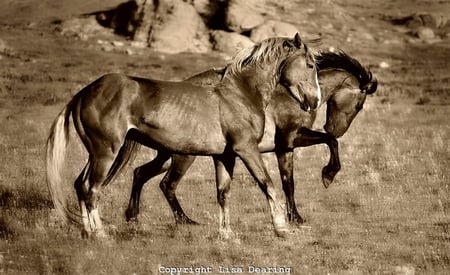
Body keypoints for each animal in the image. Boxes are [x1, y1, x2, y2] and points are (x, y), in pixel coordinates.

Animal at [45, 33, 320, 239]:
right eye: (309, 65)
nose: (314, 101)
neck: (240, 94)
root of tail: (84, 93)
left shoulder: (224, 156)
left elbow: (223, 193)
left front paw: (226, 234)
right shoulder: (246, 149)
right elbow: (268, 184)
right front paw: (282, 228)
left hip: (96, 153)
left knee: (81, 184)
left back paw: (87, 231)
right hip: (107, 152)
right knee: (92, 189)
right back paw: (100, 234)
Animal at [124, 51, 376, 226]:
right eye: (359, 105)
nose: (336, 128)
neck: (293, 95)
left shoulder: (286, 148)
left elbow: (289, 182)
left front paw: (295, 217)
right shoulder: (290, 139)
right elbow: (329, 143)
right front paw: (328, 175)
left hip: (166, 154)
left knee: (141, 173)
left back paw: (133, 217)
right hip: (183, 156)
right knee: (167, 184)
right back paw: (185, 221)